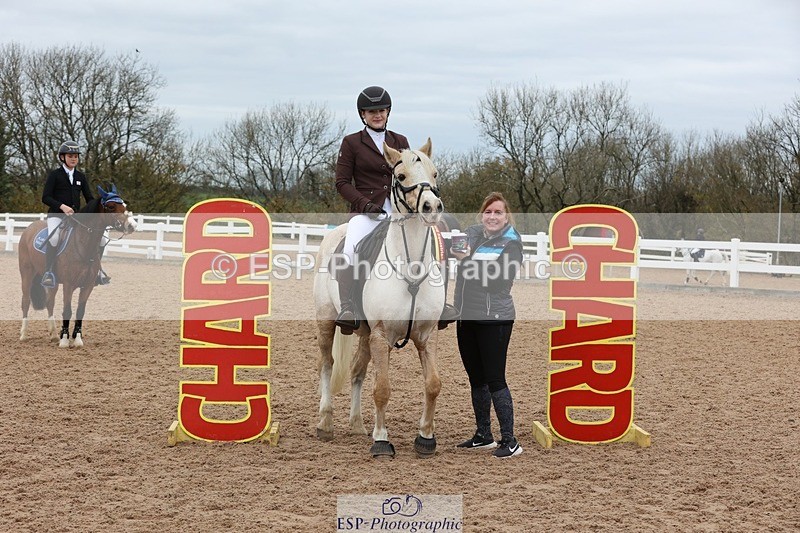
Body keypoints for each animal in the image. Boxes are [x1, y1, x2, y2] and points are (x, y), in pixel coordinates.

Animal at [18, 185, 137, 347]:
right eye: (111, 206)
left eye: (124, 205)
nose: (132, 226)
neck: (84, 245)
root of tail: (29, 228)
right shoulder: (69, 284)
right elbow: (67, 311)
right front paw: (64, 340)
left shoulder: (87, 285)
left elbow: (80, 311)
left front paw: (77, 339)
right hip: (27, 274)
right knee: (25, 301)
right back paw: (24, 334)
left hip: (52, 282)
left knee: (50, 303)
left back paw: (53, 335)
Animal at [314, 138, 446, 459]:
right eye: (401, 176)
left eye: (435, 173)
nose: (432, 207)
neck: (411, 267)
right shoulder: (382, 335)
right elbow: (383, 389)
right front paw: (382, 440)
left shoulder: (427, 335)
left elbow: (433, 384)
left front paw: (426, 437)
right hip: (326, 321)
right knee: (327, 364)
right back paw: (326, 423)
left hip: (363, 332)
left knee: (357, 371)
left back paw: (358, 425)